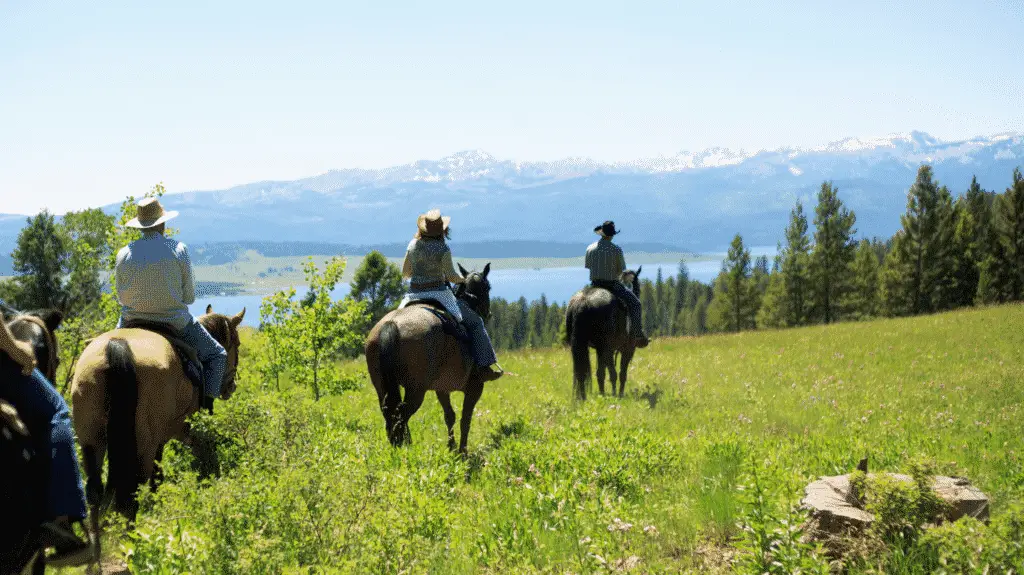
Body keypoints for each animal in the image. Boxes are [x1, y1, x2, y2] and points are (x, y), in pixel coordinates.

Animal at [366, 263, 493, 452]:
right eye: (488, 287)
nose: (488, 314)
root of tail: (391, 325)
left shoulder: (442, 389)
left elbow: (450, 416)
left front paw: (451, 448)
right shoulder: (475, 387)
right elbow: (465, 419)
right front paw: (462, 451)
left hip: (382, 387)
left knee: (390, 413)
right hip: (416, 390)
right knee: (401, 415)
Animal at [565, 268, 643, 399]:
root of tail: (583, 302)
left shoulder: (601, 349)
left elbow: (602, 372)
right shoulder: (627, 349)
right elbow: (622, 373)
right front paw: (620, 393)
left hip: (589, 347)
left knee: (588, 373)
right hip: (607, 347)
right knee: (612, 373)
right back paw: (613, 394)